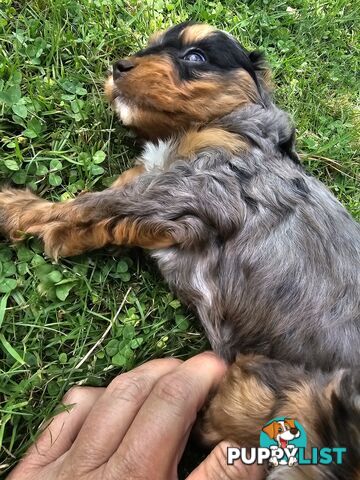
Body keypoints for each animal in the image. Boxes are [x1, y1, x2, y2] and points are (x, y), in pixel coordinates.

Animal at [0, 23, 358, 480]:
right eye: (151, 46)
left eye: (196, 57)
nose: (119, 66)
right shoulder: (163, 191)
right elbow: (112, 201)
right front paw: (61, 230)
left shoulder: (195, 188)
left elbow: (92, 202)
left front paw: (15, 207)